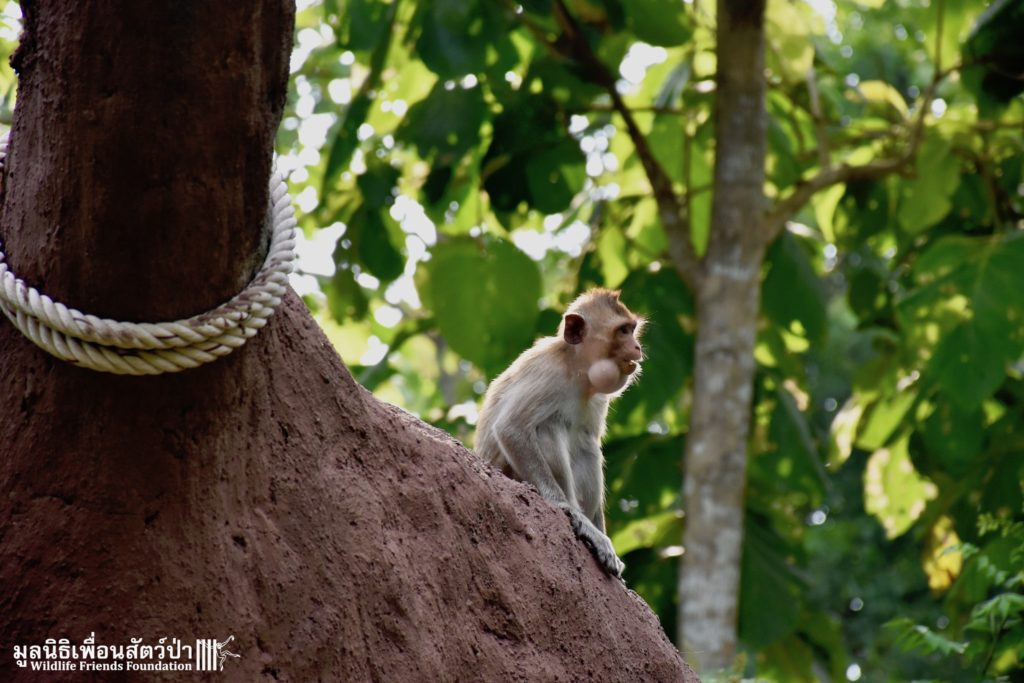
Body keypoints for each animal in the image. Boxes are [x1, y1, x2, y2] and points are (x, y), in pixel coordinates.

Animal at [475, 289, 644, 577]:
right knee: (548, 427)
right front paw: (565, 508)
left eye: (632, 330)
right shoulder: (548, 373)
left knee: (587, 445)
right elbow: (511, 427)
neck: (579, 371)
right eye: (623, 331)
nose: (638, 347)